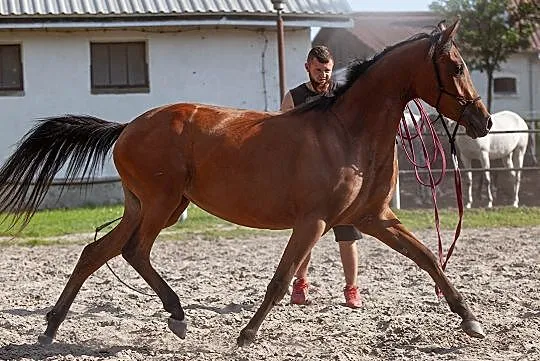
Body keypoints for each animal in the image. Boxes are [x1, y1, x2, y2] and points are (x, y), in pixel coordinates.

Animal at [0, 19, 490, 346]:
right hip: (161, 204)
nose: (482, 121)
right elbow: (280, 279)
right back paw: (176, 313)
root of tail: (127, 127)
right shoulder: (313, 221)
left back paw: (51, 328)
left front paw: (469, 319)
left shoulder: (373, 218)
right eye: (456, 65)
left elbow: (429, 258)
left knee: (95, 253)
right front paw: (248, 334)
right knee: (132, 251)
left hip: (148, 206)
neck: (347, 132)